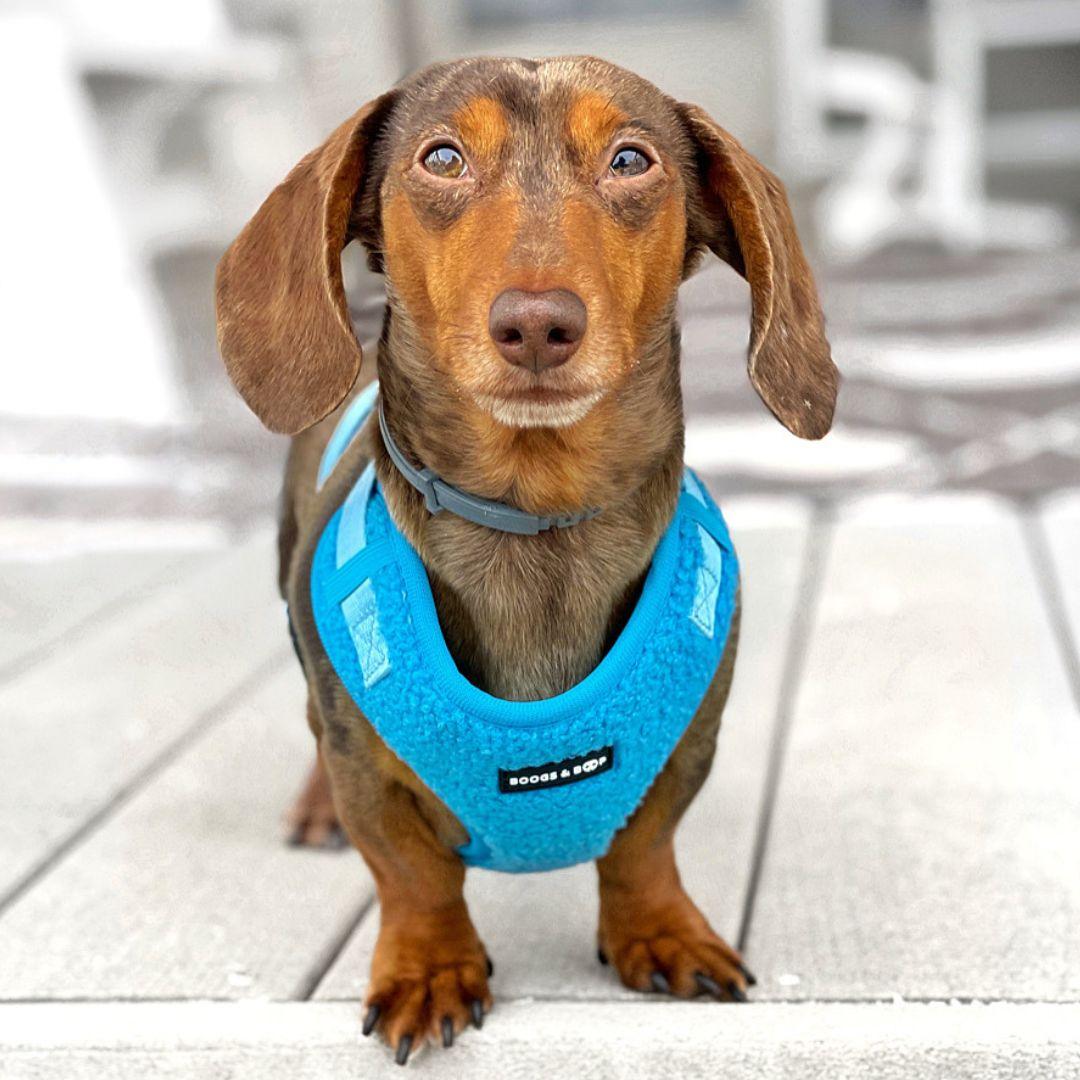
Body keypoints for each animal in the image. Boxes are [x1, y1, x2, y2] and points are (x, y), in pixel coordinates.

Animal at [210, 56, 833, 1062]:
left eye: (631, 159)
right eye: (441, 157)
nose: (537, 324)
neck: (535, 522)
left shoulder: (687, 744)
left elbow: (644, 845)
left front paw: (661, 929)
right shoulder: (367, 772)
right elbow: (412, 873)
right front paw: (428, 967)